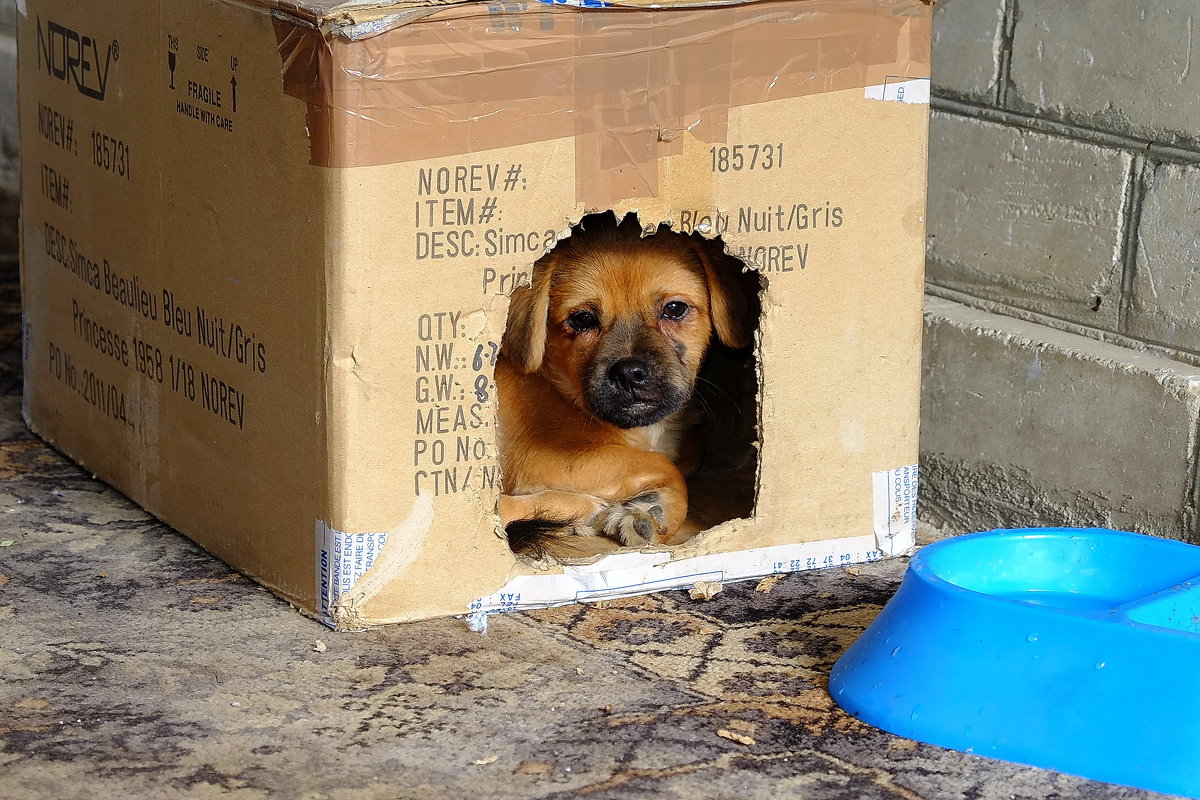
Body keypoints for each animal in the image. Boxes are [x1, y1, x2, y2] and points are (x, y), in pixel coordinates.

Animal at [492, 214, 753, 563]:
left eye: (674, 309)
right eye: (582, 318)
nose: (629, 374)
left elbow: (682, 455)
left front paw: (649, 509)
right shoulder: (543, 455)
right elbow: (664, 465)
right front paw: (653, 509)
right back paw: (578, 511)